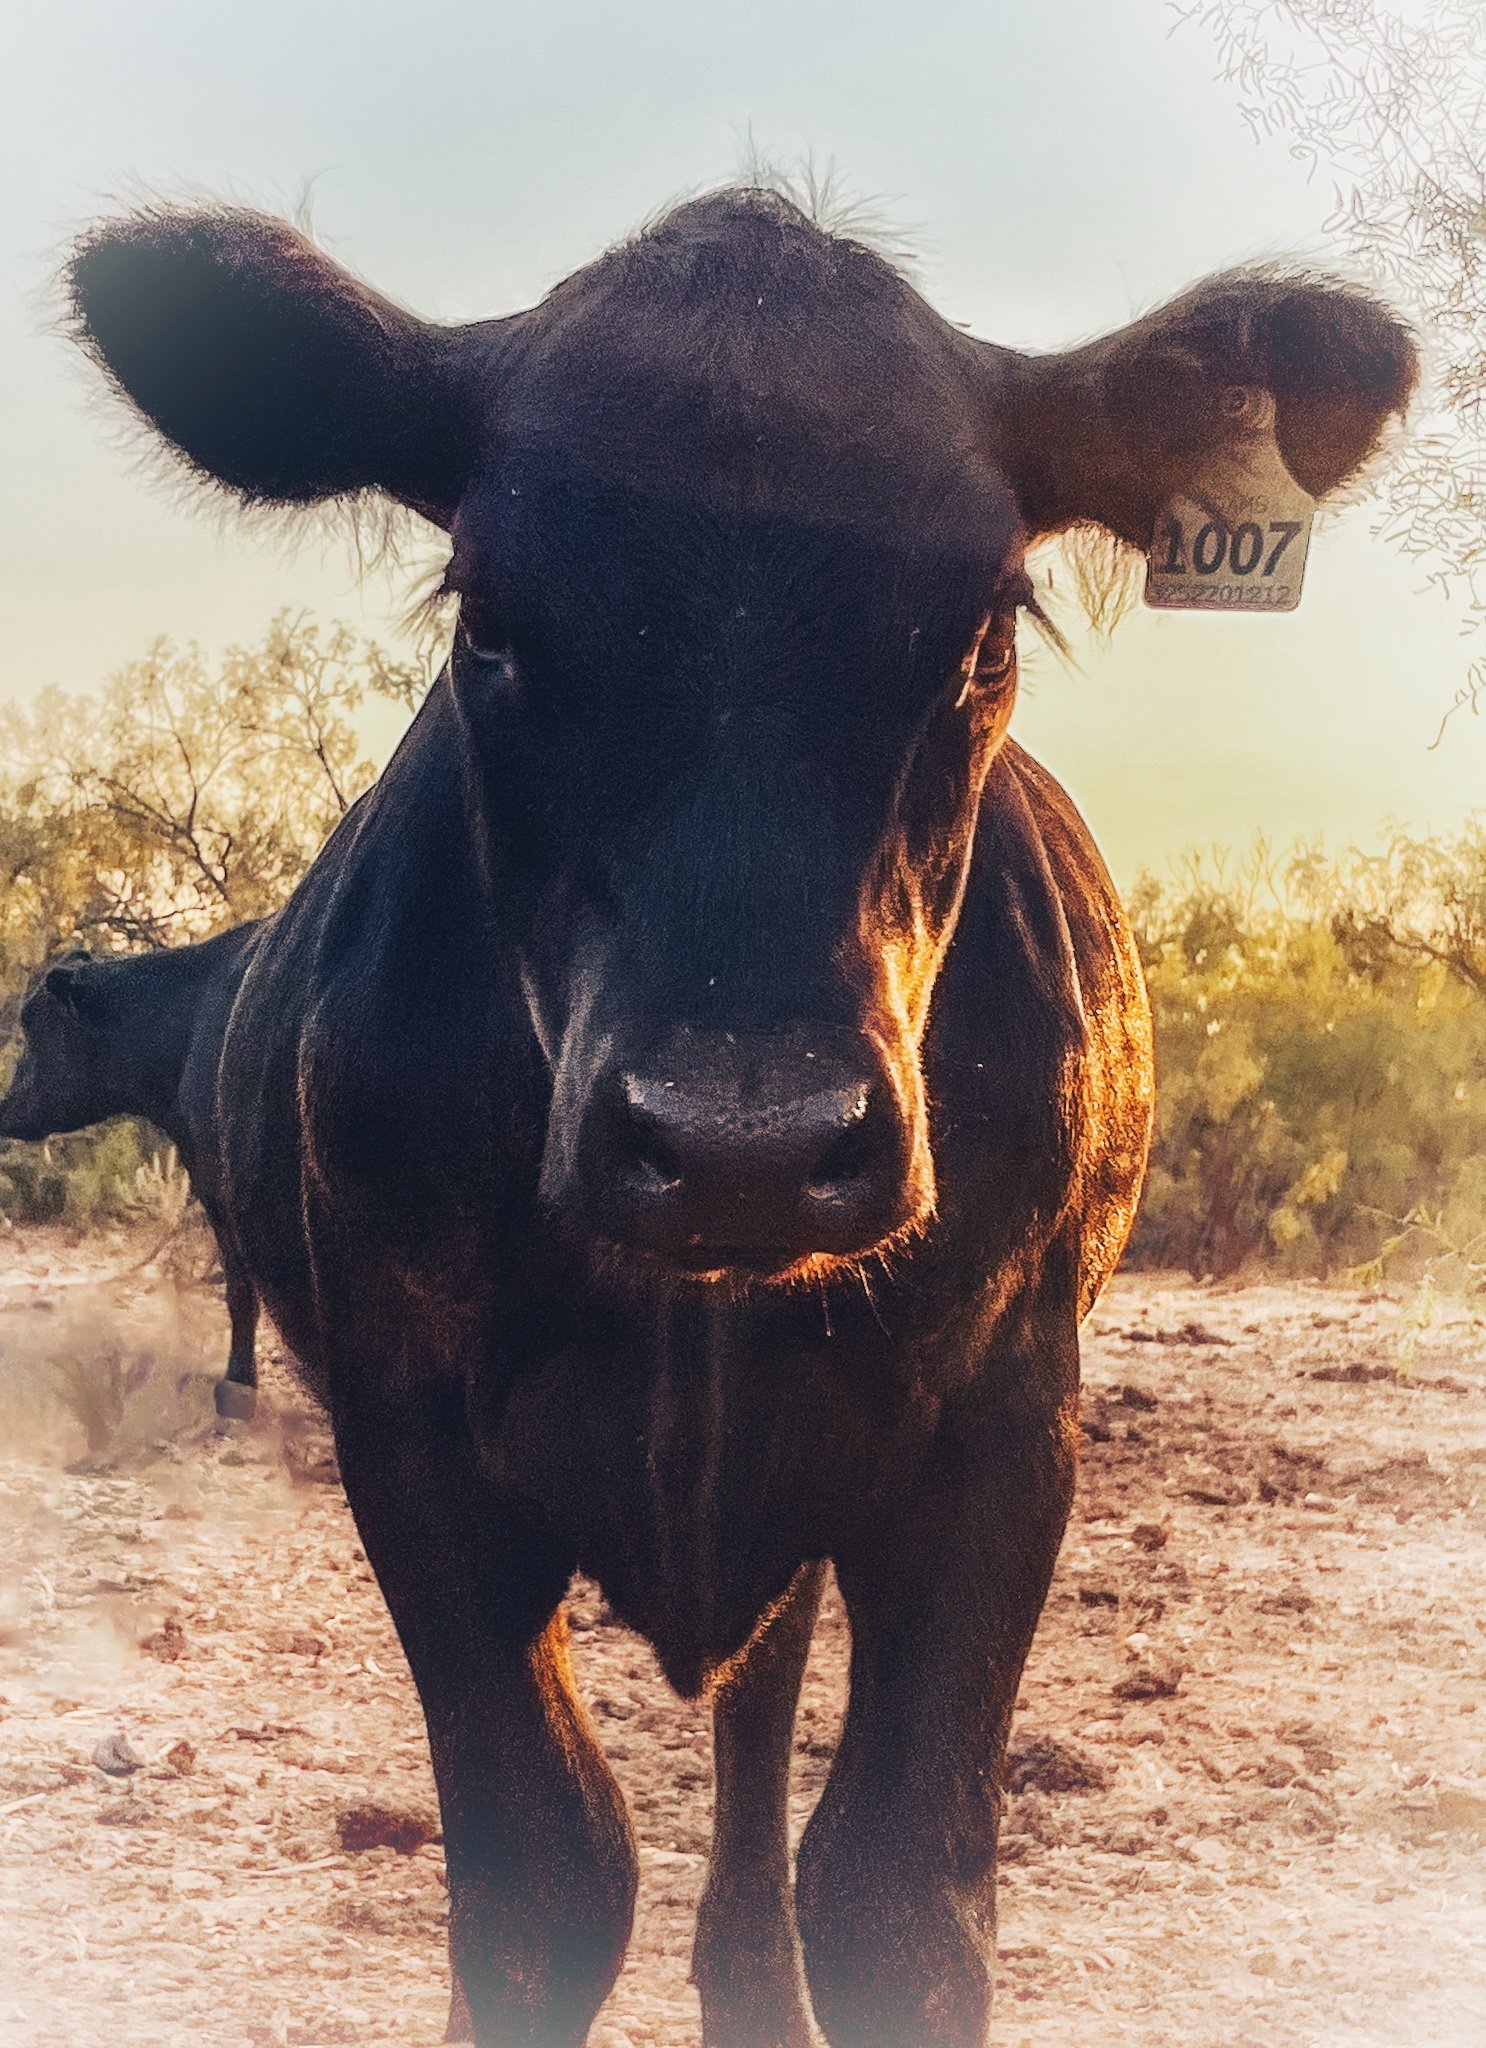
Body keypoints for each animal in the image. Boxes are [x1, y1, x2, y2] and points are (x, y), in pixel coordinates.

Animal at [65, 186, 1414, 2046]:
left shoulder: (1005, 1425)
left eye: (985, 624)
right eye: (489, 616)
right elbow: (544, 1875)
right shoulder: (413, 1442)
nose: (742, 1144)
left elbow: (897, 1895)